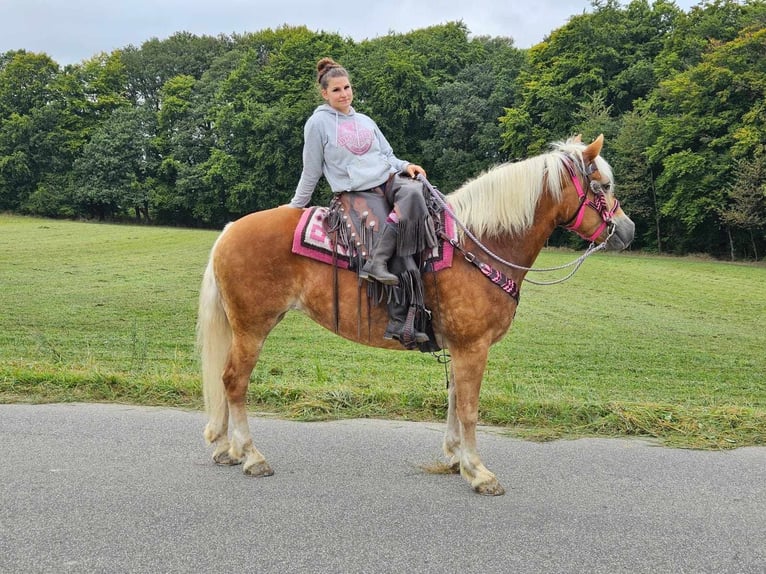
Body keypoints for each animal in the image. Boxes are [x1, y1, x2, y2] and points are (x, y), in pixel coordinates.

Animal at [196, 134, 636, 496]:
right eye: (603, 185)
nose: (628, 230)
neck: (481, 244)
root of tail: (229, 230)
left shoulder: (461, 347)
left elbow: (455, 400)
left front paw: (457, 459)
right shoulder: (473, 347)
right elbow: (470, 408)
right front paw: (479, 471)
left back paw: (228, 449)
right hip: (252, 328)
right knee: (234, 382)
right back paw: (251, 455)